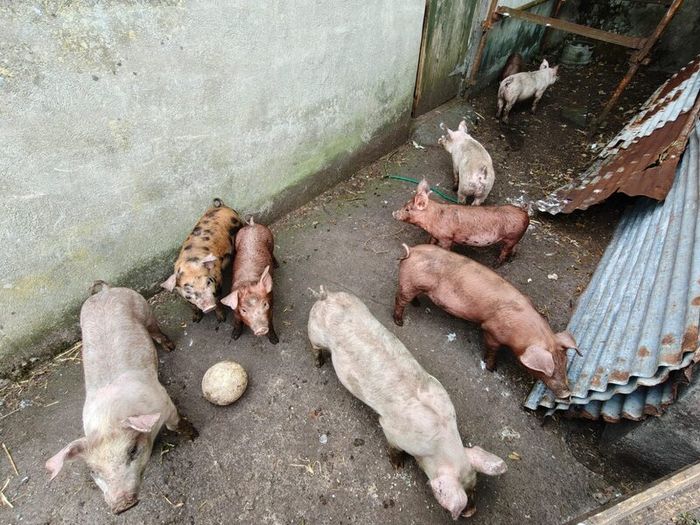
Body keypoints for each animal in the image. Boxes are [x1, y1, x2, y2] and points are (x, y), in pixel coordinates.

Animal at [46, 282, 197, 514]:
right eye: (93, 471)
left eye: (132, 451)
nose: (122, 504)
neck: (107, 420)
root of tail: (105, 291)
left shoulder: (164, 402)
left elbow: (176, 424)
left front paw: (194, 435)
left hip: (143, 307)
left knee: (155, 329)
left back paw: (170, 347)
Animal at [308, 289, 507, 519]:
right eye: (465, 493)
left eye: (474, 486)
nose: (472, 512)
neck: (440, 436)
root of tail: (327, 296)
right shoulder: (391, 430)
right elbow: (393, 448)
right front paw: (398, 466)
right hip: (314, 332)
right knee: (315, 347)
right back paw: (318, 363)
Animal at [393, 179, 529, 265]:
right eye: (405, 205)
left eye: (407, 209)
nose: (394, 213)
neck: (432, 220)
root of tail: (524, 213)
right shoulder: (434, 234)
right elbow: (431, 240)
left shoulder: (446, 237)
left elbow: (445, 247)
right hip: (515, 237)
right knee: (515, 247)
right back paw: (511, 259)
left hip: (512, 236)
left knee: (505, 250)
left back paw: (496, 264)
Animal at [393, 245, 579, 399]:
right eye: (549, 371)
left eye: (565, 363)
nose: (567, 394)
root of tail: (412, 251)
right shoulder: (491, 330)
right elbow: (491, 349)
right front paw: (492, 368)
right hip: (408, 283)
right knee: (399, 300)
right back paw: (399, 322)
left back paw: (417, 305)